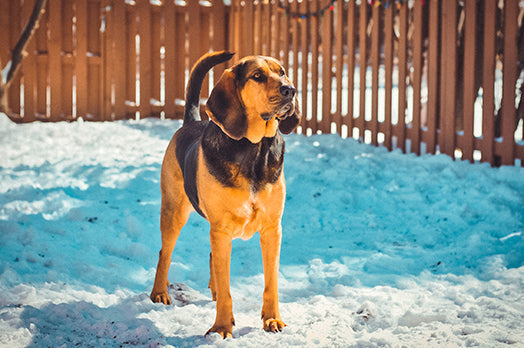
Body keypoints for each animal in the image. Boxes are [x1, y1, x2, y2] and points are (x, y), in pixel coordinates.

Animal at [149, 50, 300, 338]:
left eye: (283, 72)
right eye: (257, 76)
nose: (291, 90)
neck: (254, 150)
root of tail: (191, 122)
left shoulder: (272, 230)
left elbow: (271, 282)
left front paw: (272, 319)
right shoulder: (221, 229)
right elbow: (227, 284)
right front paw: (221, 327)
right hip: (174, 213)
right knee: (165, 253)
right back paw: (159, 293)